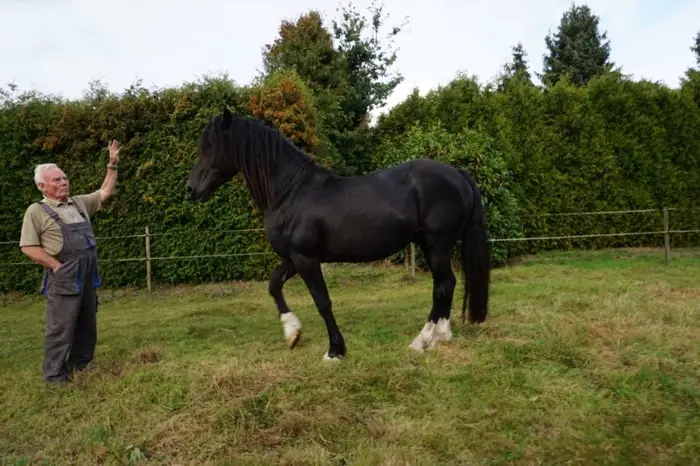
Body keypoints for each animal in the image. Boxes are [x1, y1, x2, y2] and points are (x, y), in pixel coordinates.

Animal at [186, 108, 492, 360]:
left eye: (211, 146)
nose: (191, 189)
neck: (291, 192)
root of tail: (458, 174)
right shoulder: (294, 257)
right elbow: (274, 286)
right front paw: (292, 333)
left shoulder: (306, 258)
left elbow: (322, 301)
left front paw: (335, 350)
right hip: (433, 247)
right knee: (447, 284)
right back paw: (441, 336)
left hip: (437, 245)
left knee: (443, 286)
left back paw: (422, 340)